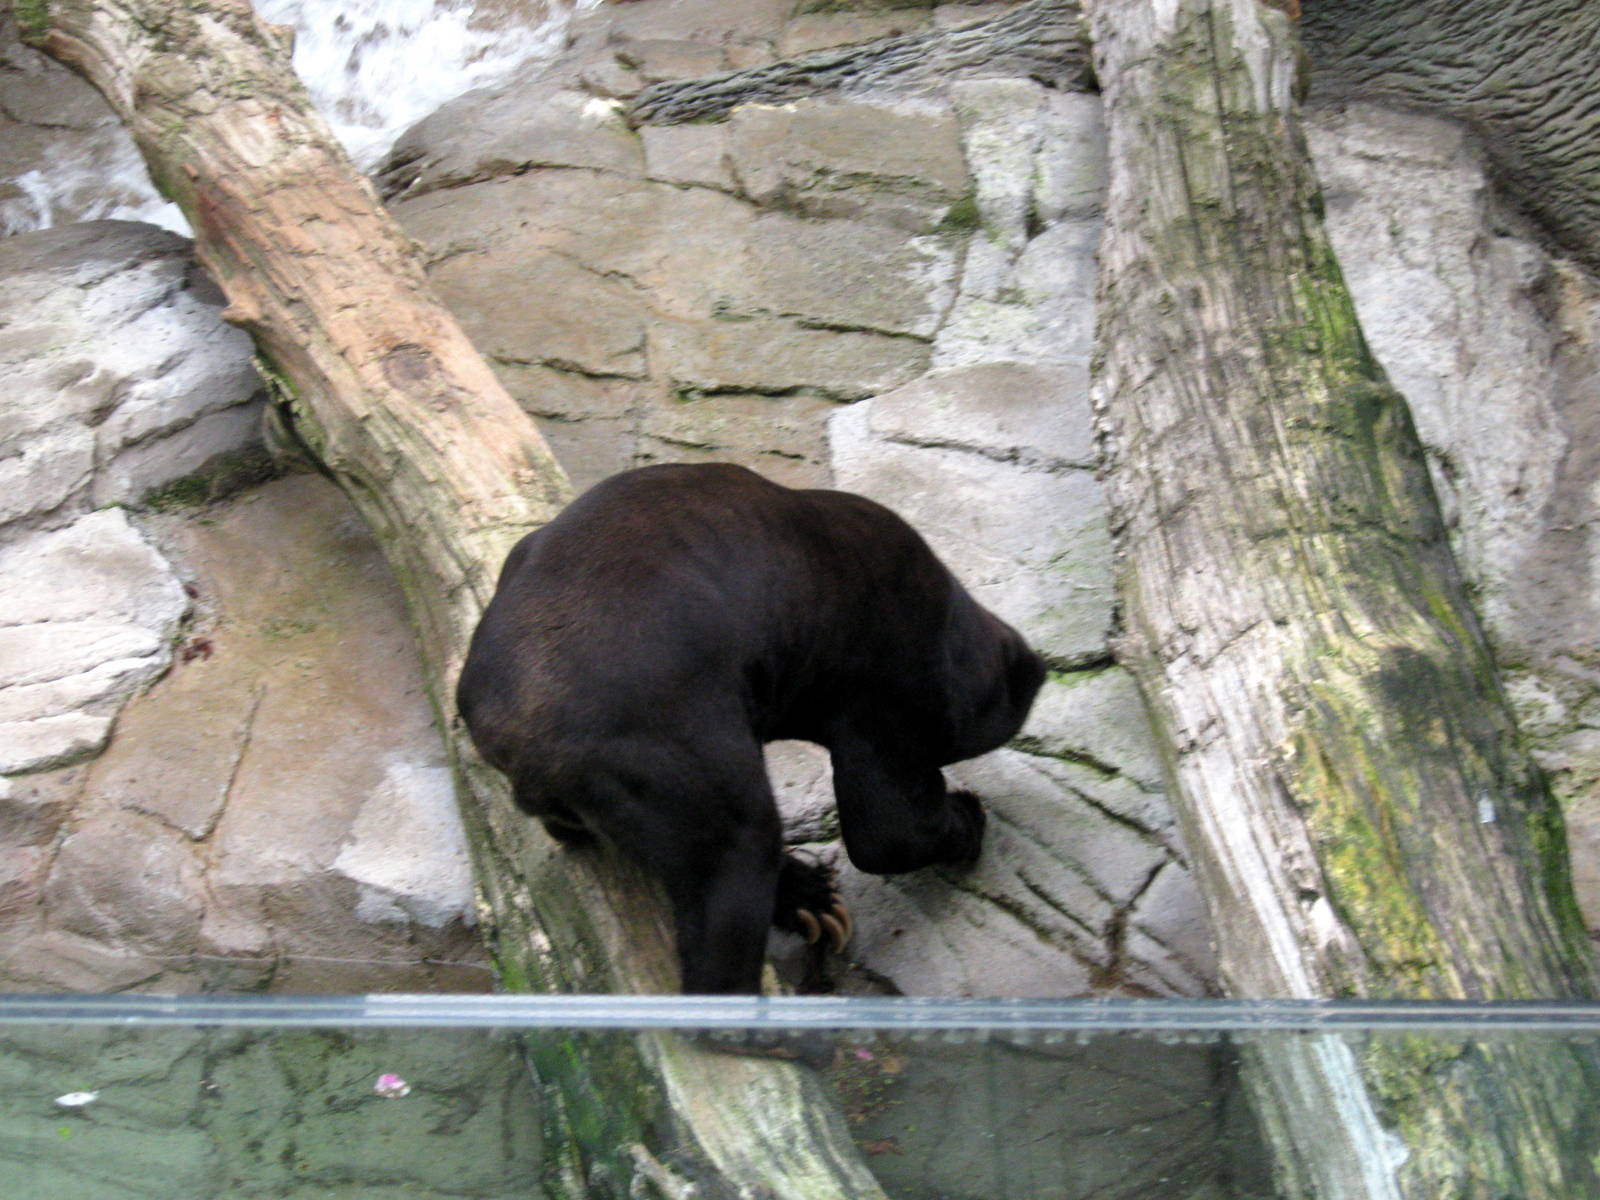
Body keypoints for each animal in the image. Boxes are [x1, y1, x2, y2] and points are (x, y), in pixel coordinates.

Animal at [456, 462, 1046, 994]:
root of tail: (516, 729)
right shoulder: (882, 672)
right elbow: (887, 826)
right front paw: (968, 815)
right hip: (670, 751)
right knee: (735, 857)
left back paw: (813, 901)